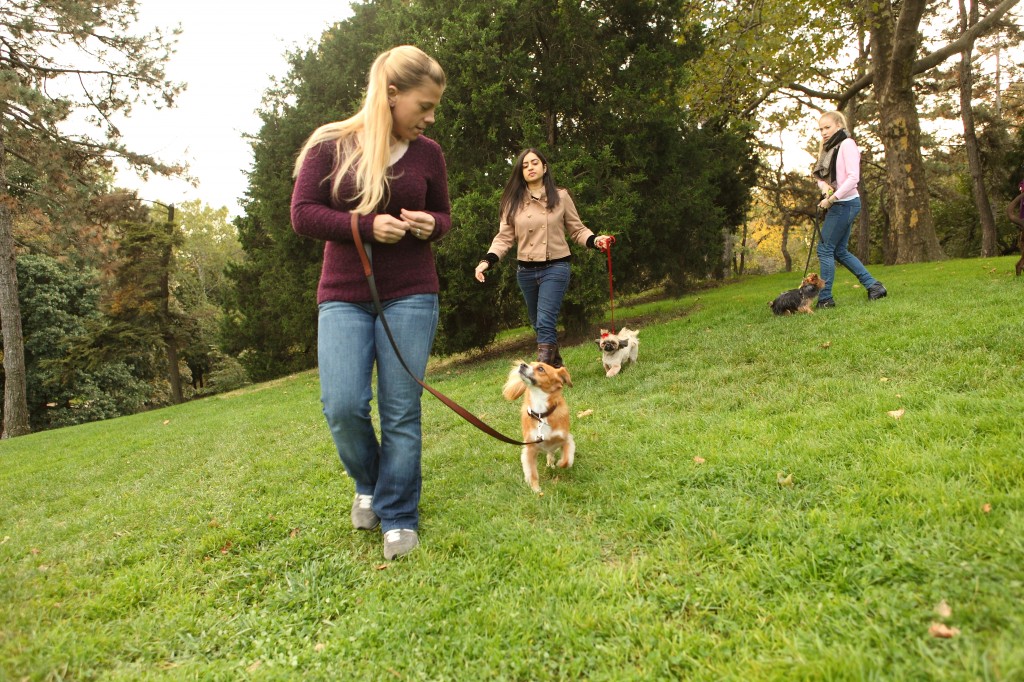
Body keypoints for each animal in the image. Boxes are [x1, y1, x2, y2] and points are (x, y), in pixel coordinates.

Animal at [503, 358, 577, 491]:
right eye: (530, 364)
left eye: (541, 368)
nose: (522, 365)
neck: (541, 414)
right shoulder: (529, 449)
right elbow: (532, 473)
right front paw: (536, 490)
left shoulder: (566, 439)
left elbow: (567, 460)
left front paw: (560, 463)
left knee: (551, 452)